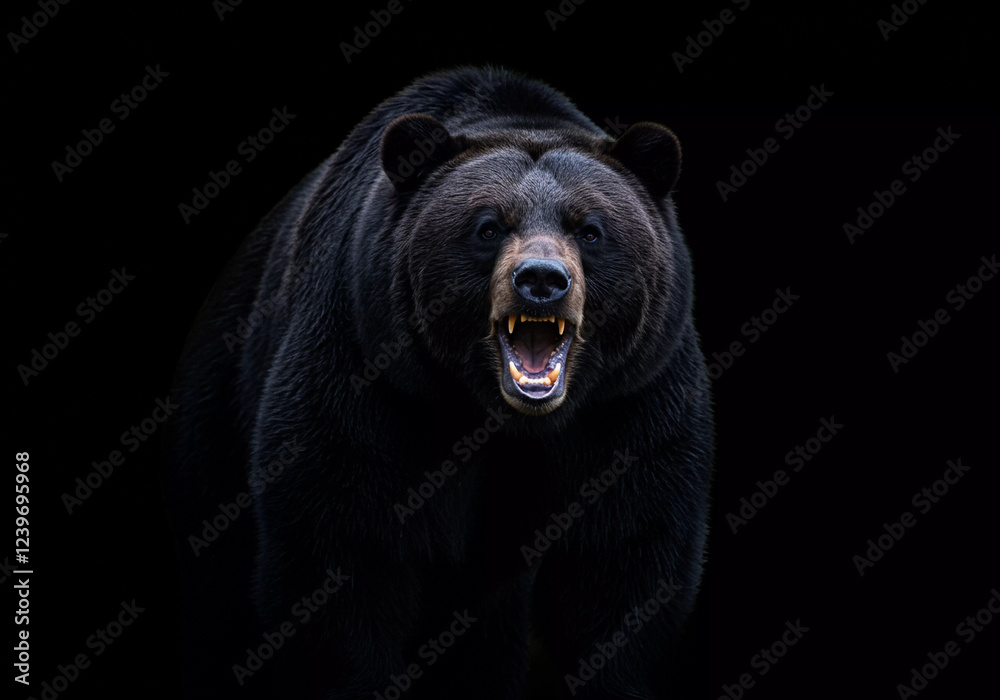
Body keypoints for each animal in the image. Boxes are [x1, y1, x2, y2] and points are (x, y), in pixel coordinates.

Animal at [163, 66, 713, 699]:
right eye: (489, 226)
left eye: (590, 230)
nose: (541, 280)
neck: (497, 415)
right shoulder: (369, 375)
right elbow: (341, 552)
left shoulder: (633, 399)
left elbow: (625, 561)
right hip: (217, 413)